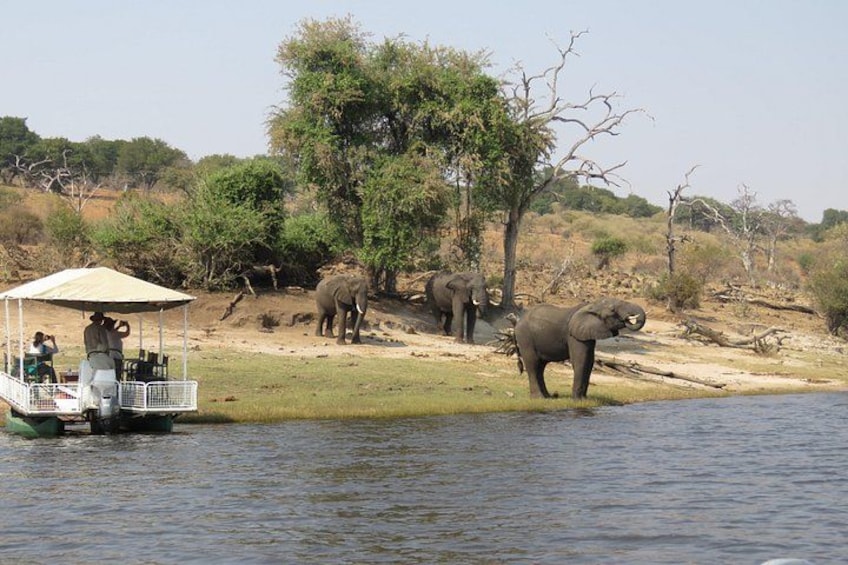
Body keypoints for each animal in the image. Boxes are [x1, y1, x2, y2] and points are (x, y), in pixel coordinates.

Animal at [513, 298, 646, 399]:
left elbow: (589, 362)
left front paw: (584, 399)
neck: (592, 305)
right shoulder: (573, 335)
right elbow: (580, 360)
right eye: (613, 310)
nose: (628, 318)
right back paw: (539, 398)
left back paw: (548, 397)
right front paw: (577, 400)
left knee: (540, 367)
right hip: (525, 338)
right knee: (533, 364)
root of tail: (518, 322)